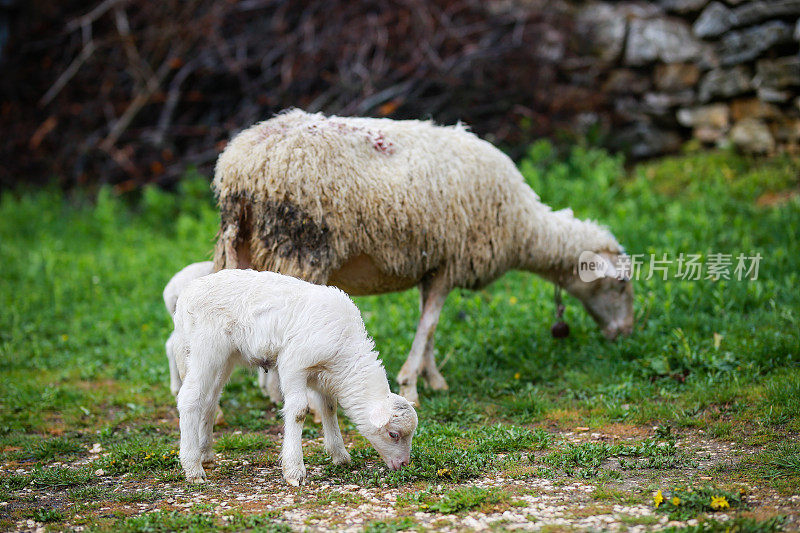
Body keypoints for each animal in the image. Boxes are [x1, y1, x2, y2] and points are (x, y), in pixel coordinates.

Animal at [171, 268, 416, 484]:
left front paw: (339, 455)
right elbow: (298, 412)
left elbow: (329, 408)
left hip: (225, 358)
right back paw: (193, 468)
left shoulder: (323, 375)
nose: (404, 465)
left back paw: (205, 453)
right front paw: (294, 470)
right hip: (205, 349)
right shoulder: (294, 364)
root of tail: (185, 297)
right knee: (190, 398)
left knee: (210, 401)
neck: (345, 353)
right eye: (393, 434)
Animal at [211, 110, 632, 406]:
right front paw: (411, 385)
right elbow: (428, 325)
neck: (523, 225)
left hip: (247, 251)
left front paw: (433, 379)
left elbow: (428, 323)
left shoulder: (433, 266)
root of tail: (240, 170)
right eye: (620, 283)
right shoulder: (452, 262)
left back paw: (271, 391)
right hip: (300, 250)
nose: (625, 333)